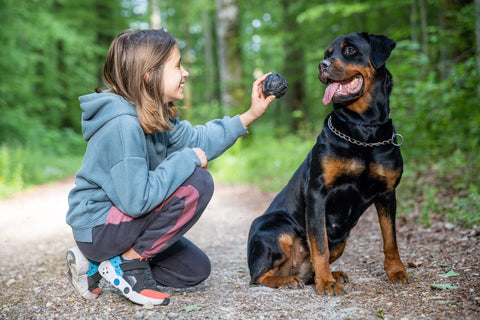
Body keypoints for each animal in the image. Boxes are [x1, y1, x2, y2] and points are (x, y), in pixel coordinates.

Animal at [248, 32, 412, 296]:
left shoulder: (388, 193)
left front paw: (397, 272)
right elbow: (319, 244)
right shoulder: (318, 192)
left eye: (350, 50)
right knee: (258, 276)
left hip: (342, 240)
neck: (364, 130)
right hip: (274, 228)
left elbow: (390, 239)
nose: (321, 65)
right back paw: (287, 280)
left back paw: (329, 274)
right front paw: (326, 283)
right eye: (327, 54)